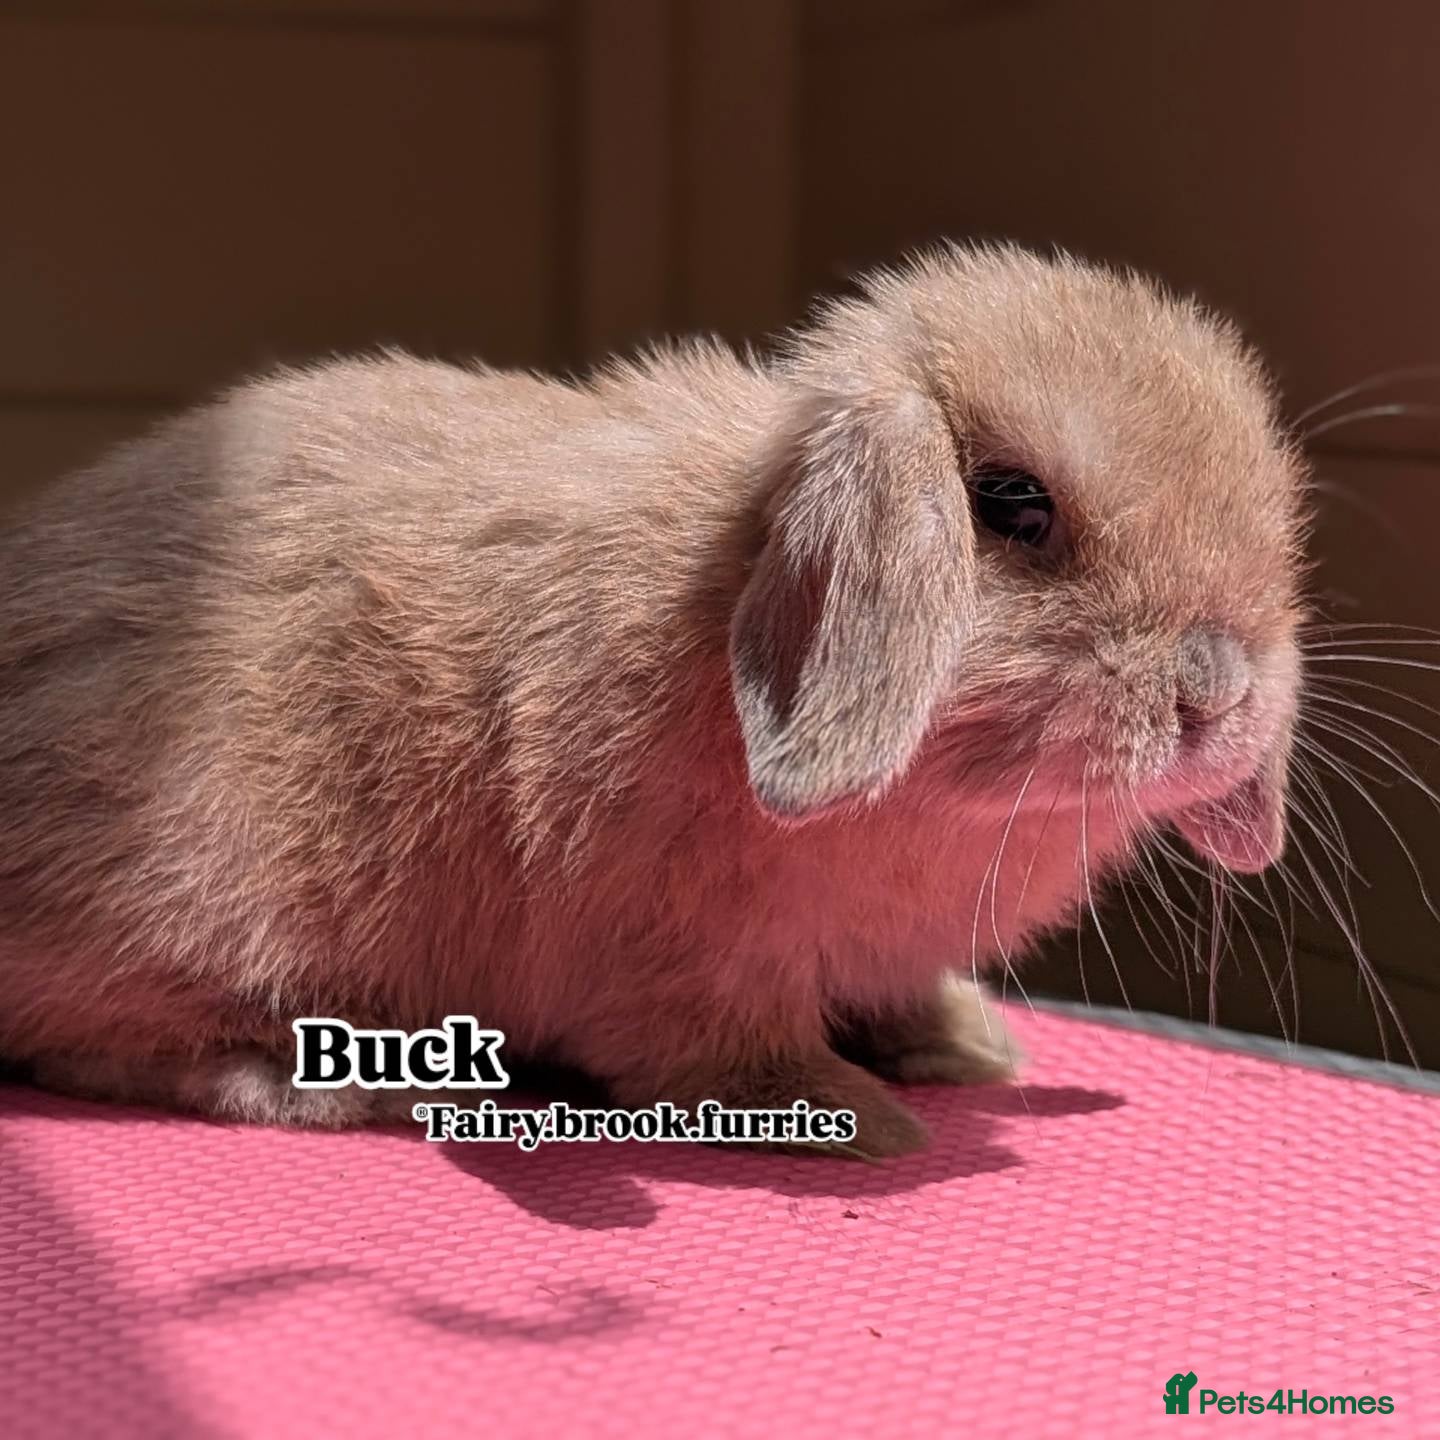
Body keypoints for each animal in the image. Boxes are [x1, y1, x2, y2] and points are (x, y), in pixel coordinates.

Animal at [0, 244, 1305, 1156]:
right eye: (1013, 504)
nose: (1219, 694)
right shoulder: (673, 960)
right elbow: (719, 1051)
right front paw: (855, 1123)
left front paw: (966, 1049)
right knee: (90, 1044)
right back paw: (328, 1080)